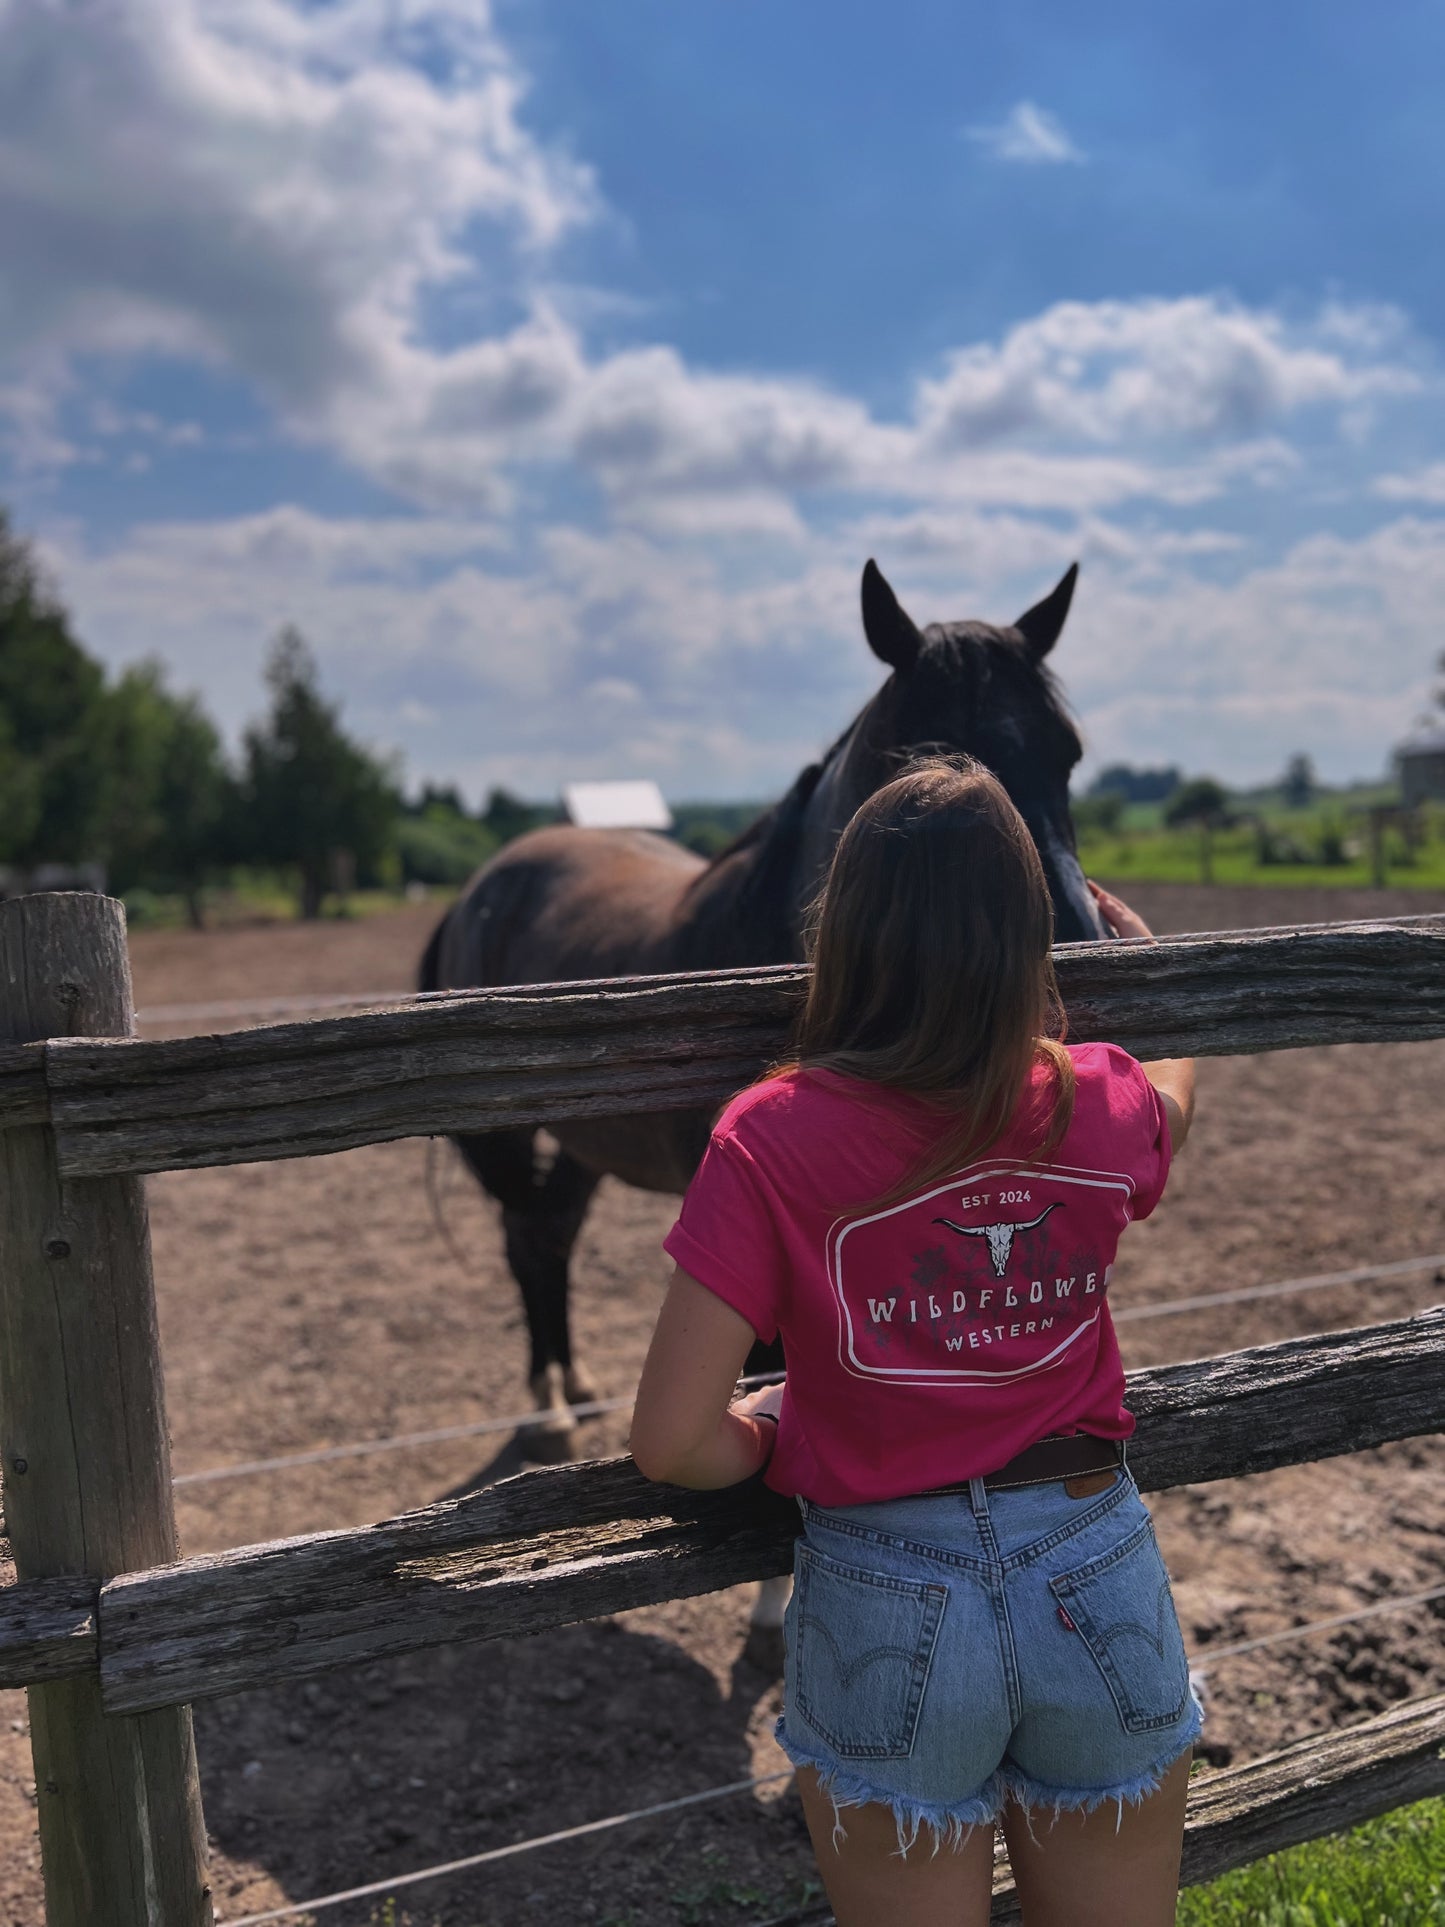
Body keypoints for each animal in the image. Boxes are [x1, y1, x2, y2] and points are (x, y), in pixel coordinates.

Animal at [421, 562, 1109, 1456]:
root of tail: (482, 884)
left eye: (1067, 752)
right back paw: (549, 1406)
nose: (1077, 947)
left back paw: (573, 1383)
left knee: (551, 1230)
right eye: (916, 761)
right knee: (526, 1238)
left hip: (585, 1142)